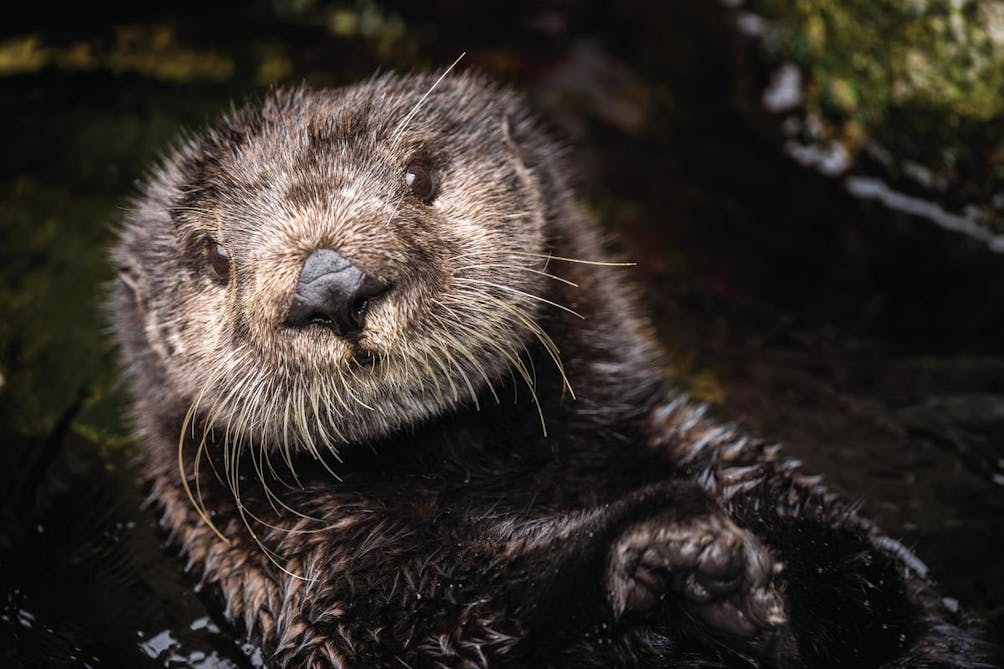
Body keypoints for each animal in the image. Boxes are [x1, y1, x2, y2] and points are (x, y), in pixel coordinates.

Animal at [111, 70, 995, 662]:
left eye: (419, 175)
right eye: (212, 255)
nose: (330, 285)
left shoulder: (699, 442)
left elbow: (886, 588)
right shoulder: (331, 589)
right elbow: (475, 626)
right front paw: (664, 542)